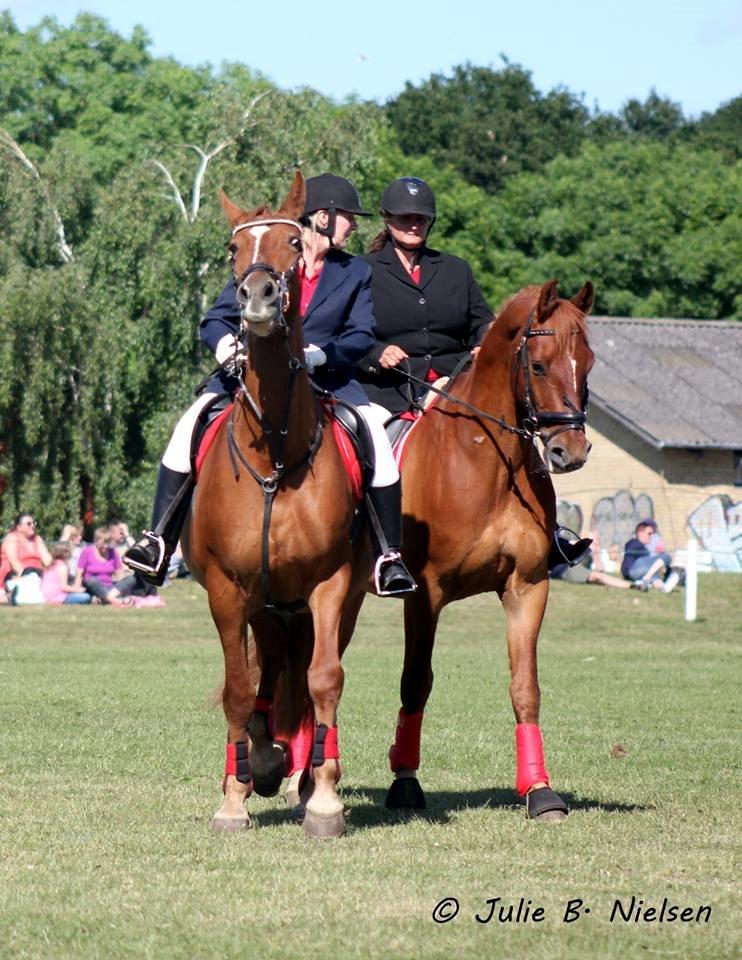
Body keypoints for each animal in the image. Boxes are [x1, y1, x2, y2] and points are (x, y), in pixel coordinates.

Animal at [183, 174, 370, 840]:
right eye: (233, 248)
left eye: (292, 242)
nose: (257, 297)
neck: (275, 451)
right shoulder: (226, 588)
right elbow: (239, 691)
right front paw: (233, 798)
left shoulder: (330, 585)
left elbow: (324, 680)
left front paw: (325, 800)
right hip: (266, 605)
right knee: (265, 677)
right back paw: (262, 760)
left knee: (309, 678)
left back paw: (303, 774)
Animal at [386, 282, 596, 820]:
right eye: (538, 366)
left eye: (587, 364)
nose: (570, 452)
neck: (485, 460)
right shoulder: (425, 594)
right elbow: (415, 681)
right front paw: (404, 781)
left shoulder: (527, 587)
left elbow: (526, 687)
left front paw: (540, 791)